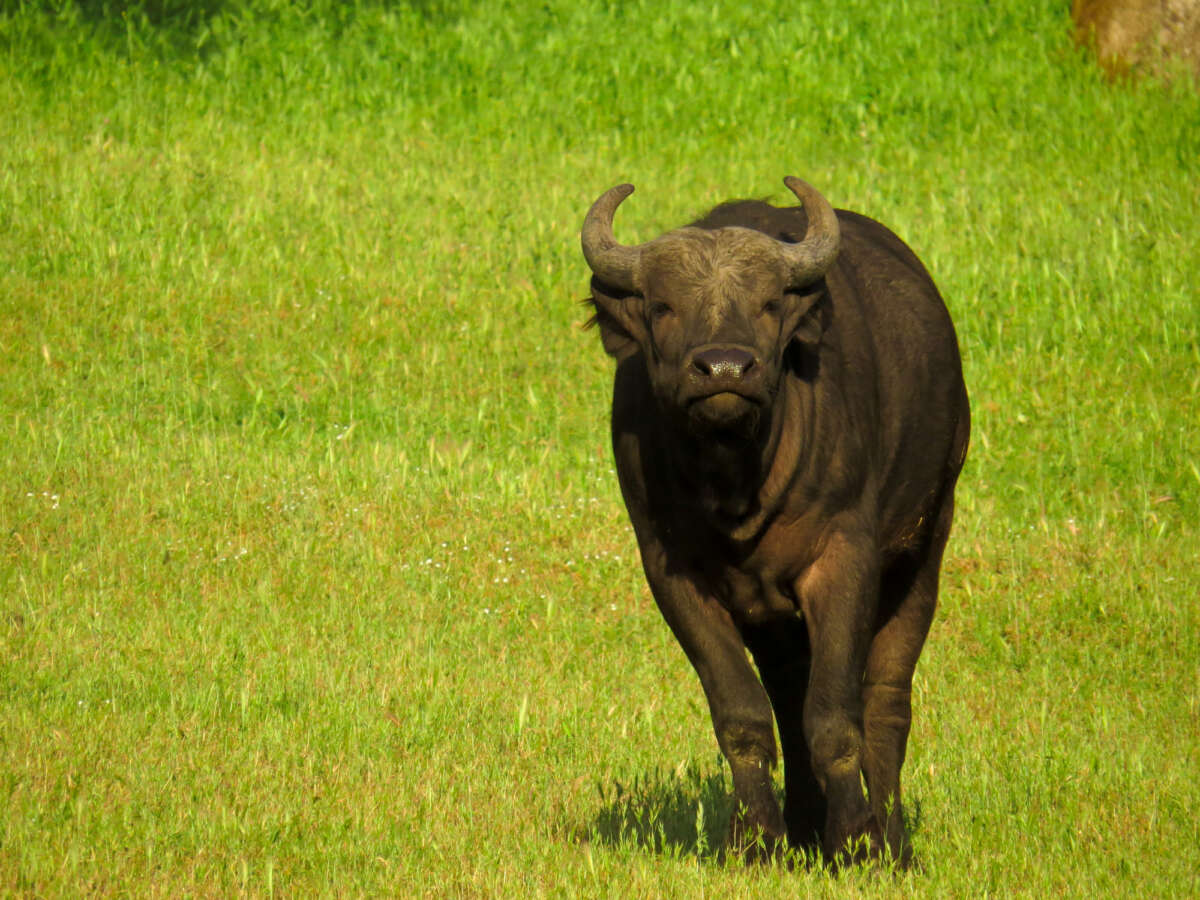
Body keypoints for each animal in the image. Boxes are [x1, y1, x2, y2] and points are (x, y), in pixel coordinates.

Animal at [578, 174, 964, 868]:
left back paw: (892, 841)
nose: (725, 369)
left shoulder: (844, 559)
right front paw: (756, 840)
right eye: (664, 307)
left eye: (766, 305)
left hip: (926, 544)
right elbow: (744, 715)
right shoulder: (674, 575)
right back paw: (805, 828)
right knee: (787, 694)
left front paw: (856, 842)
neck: (736, 483)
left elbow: (835, 716)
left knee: (886, 701)